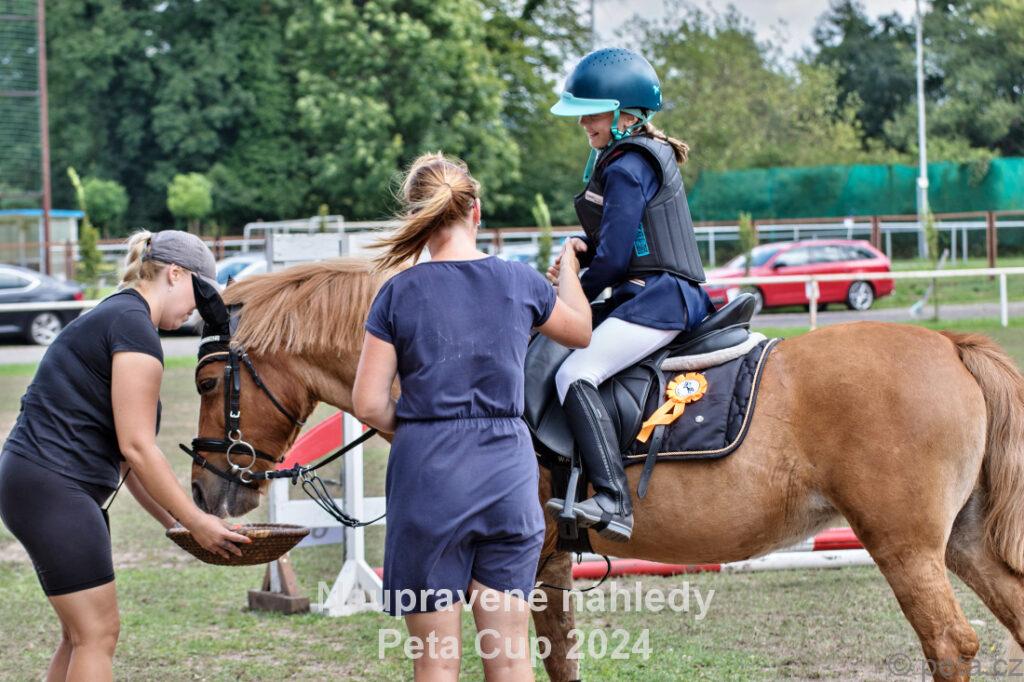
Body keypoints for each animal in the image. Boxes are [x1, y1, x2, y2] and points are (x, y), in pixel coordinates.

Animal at [188, 258, 1024, 682]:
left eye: (209, 381)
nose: (205, 488)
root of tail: (952, 345)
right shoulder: (550, 563)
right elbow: (559, 658)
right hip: (960, 543)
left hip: (903, 545)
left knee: (951, 645)